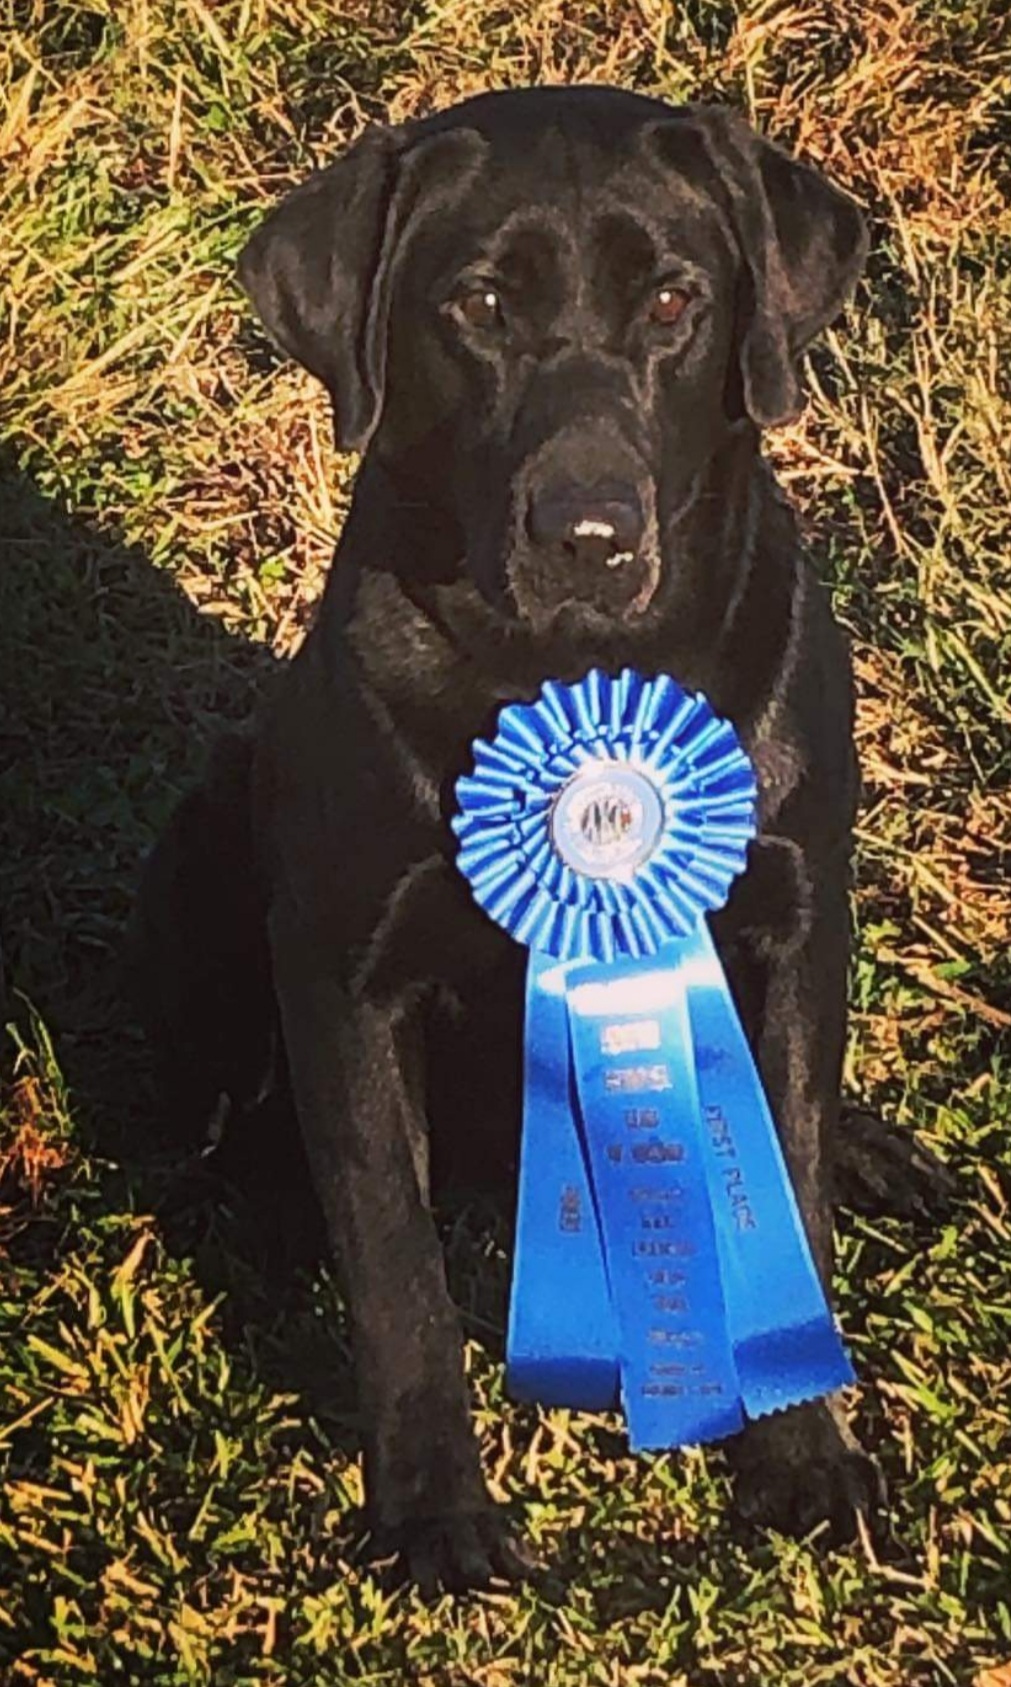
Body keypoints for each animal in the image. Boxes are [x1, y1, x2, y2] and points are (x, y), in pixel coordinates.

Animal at [136, 88, 884, 1592]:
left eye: (674, 299)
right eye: (477, 303)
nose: (588, 534)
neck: (569, 671)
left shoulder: (792, 919)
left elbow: (787, 1169)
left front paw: (800, 1458)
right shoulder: (347, 969)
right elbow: (395, 1265)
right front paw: (434, 1514)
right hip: (207, 835)